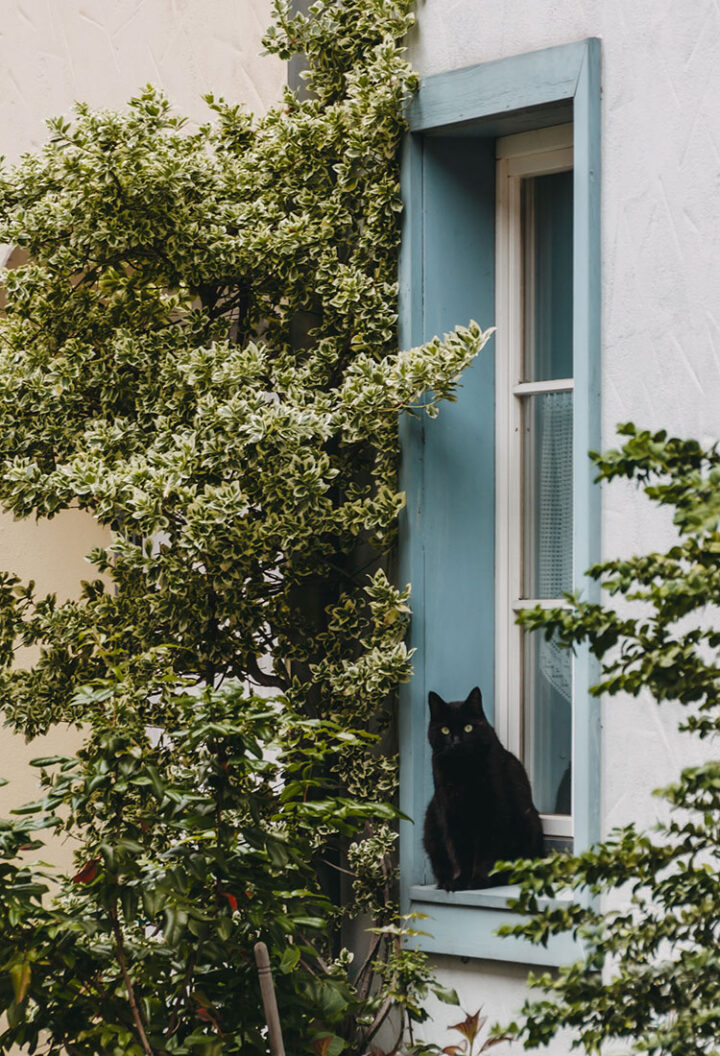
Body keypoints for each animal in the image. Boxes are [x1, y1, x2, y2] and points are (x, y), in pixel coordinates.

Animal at [420, 684, 538, 891]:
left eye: (468, 728)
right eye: (444, 729)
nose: (456, 740)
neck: (463, 773)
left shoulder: (493, 813)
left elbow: (486, 852)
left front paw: (478, 881)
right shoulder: (450, 815)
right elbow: (459, 852)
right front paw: (460, 881)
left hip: (529, 820)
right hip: (431, 823)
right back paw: (445, 882)